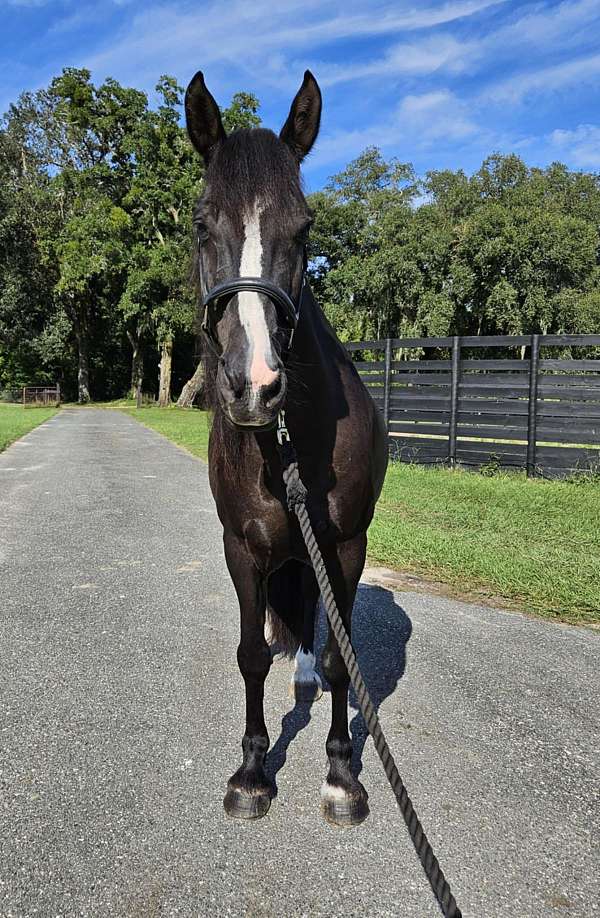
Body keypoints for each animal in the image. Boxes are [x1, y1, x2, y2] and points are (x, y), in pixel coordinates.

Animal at [186, 72, 390, 832]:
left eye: (304, 229)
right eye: (201, 222)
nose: (255, 383)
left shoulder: (346, 547)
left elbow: (340, 663)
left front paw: (342, 775)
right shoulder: (241, 547)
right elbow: (249, 656)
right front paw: (251, 771)